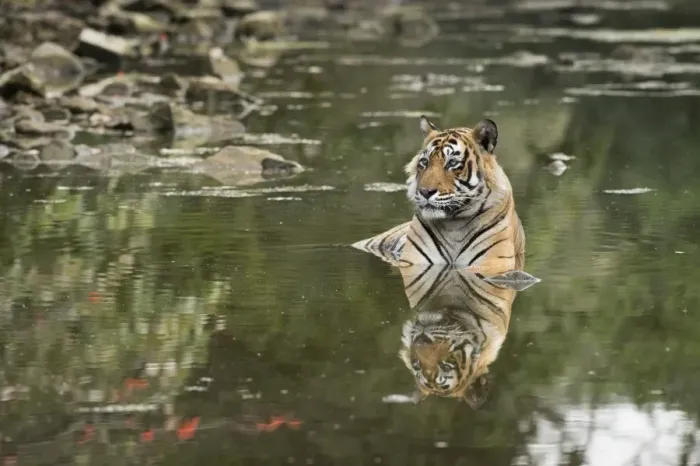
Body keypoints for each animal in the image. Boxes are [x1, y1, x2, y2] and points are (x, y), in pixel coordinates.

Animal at [352, 115, 525, 276]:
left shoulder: (493, 261)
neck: (454, 225)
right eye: (424, 162)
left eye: (452, 163)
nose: (425, 192)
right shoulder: (413, 260)